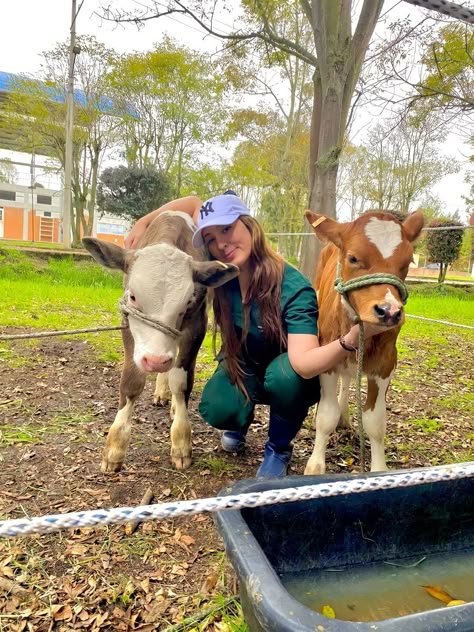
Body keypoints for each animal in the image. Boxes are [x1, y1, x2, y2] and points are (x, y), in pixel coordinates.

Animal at [82, 210, 237, 472]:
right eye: (133, 297)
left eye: (187, 302)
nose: (156, 360)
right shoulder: (128, 323)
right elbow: (131, 382)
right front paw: (115, 447)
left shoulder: (196, 327)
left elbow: (180, 382)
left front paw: (181, 442)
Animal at [306, 211, 424, 474]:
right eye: (353, 258)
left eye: (408, 262)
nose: (389, 311)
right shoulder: (325, 355)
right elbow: (326, 416)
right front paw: (315, 465)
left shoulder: (386, 364)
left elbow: (376, 423)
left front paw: (378, 470)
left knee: (348, 380)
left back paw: (345, 417)